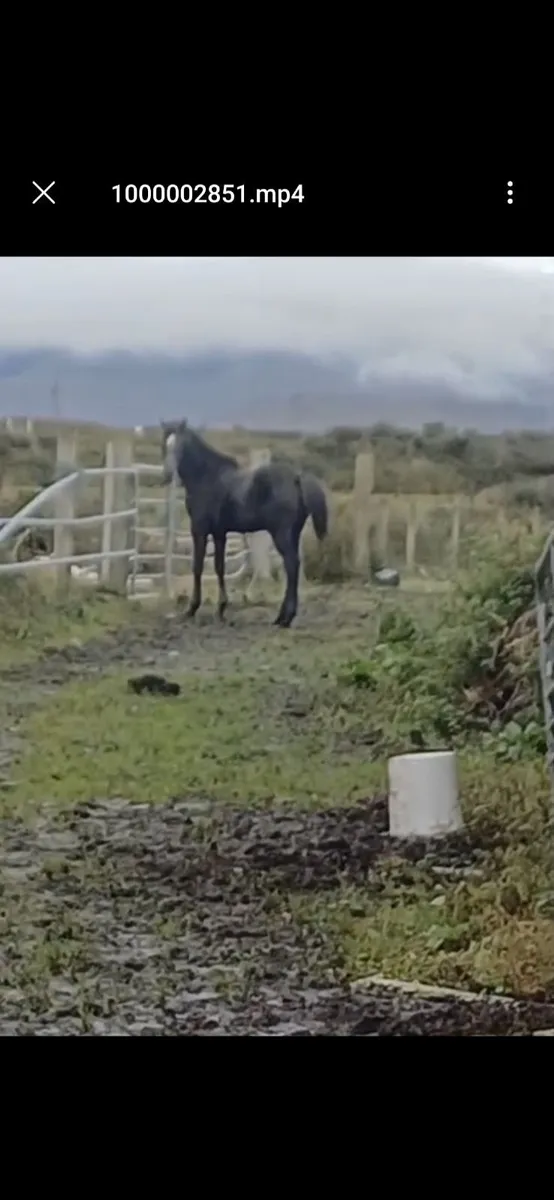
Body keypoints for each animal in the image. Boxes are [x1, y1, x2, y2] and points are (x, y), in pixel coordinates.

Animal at [160, 420, 328, 628]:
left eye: (182, 445)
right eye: (165, 443)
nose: (167, 474)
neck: (207, 478)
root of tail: (297, 477)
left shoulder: (199, 530)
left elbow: (197, 567)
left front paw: (192, 609)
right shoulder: (219, 533)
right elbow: (219, 567)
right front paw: (221, 610)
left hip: (281, 533)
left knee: (291, 565)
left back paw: (285, 618)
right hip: (293, 533)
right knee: (293, 567)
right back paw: (282, 617)